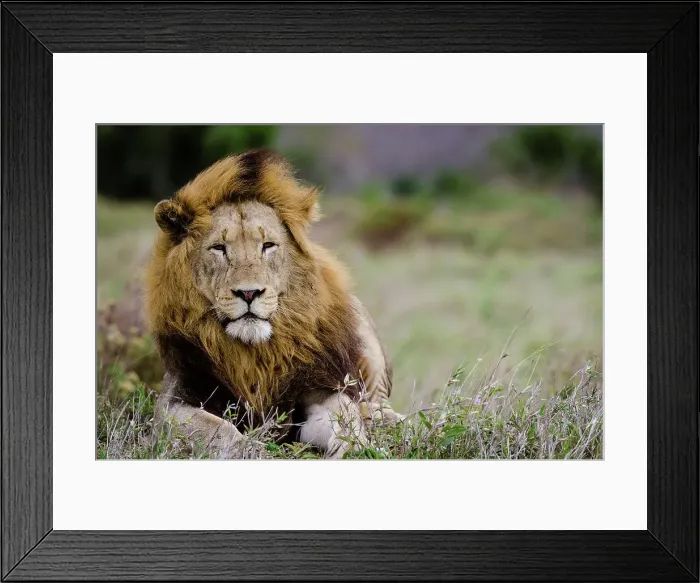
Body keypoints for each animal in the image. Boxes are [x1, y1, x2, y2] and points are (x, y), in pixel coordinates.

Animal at [145, 149, 402, 458]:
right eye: (219, 248)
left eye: (267, 245)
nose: (249, 293)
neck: (257, 354)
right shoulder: (173, 404)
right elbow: (220, 432)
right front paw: (255, 451)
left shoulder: (318, 388)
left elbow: (345, 416)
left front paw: (356, 448)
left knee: (376, 403)